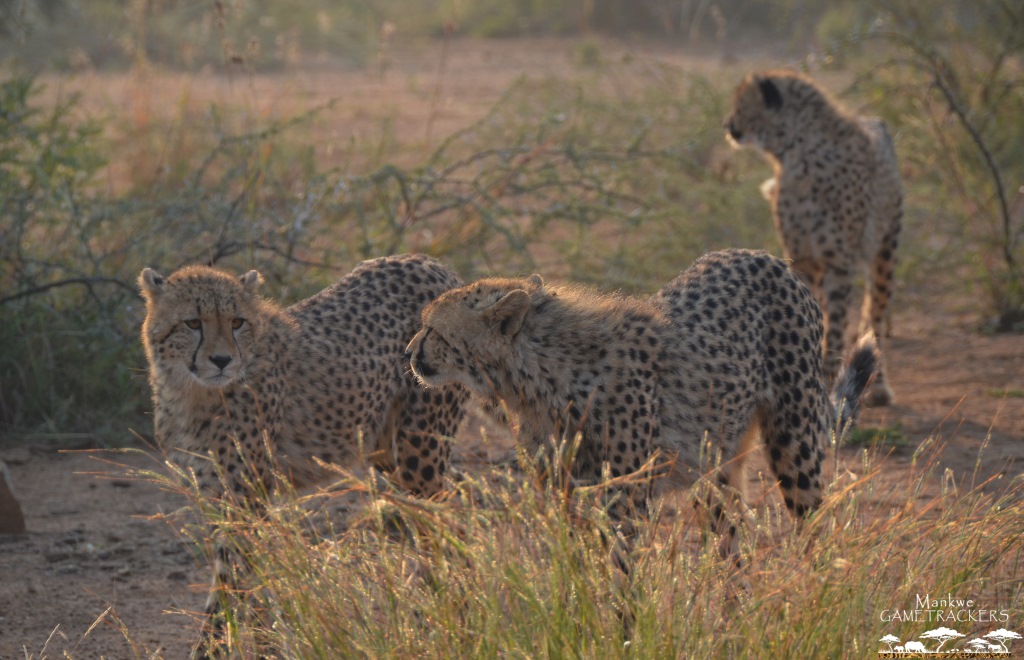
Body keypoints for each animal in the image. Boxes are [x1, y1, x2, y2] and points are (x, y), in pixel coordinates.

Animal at [138, 253, 467, 653]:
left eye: (237, 322)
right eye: (192, 323)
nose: (221, 360)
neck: (193, 391)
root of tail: (431, 262)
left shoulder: (246, 501)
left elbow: (229, 586)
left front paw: (211, 648)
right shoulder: (219, 498)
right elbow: (252, 582)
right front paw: (266, 642)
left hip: (420, 450)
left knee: (442, 521)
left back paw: (445, 613)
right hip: (387, 451)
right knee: (447, 510)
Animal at [406, 248, 878, 555]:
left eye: (432, 329)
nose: (409, 352)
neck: (536, 377)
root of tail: (765, 256)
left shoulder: (625, 504)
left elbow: (620, 580)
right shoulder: (567, 497)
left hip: (794, 444)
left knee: (813, 528)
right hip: (717, 465)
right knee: (730, 550)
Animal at [724, 69, 902, 407]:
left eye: (740, 105)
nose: (727, 125)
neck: (794, 154)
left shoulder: (837, 262)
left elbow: (836, 325)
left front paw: (828, 375)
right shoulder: (802, 258)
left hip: (884, 252)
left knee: (876, 315)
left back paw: (880, 387)